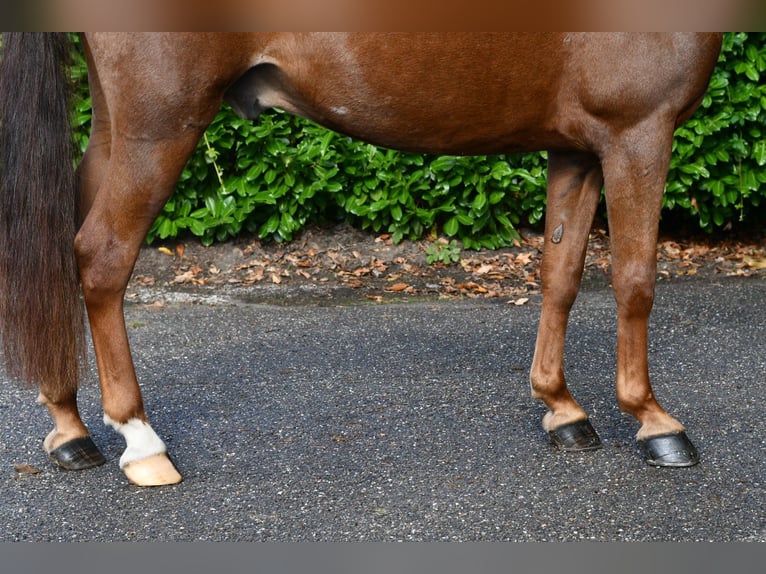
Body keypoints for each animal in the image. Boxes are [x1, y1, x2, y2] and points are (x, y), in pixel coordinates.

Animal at [0, 33, 728, 488]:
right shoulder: (638, 131)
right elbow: (635, 280)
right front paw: (654, 422)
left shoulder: (577, 147)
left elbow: (562, 275)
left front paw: (563, 409)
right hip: (160, 123)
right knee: (102, 258)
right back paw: (141, 443)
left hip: (117, 123)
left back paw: (70, 429)